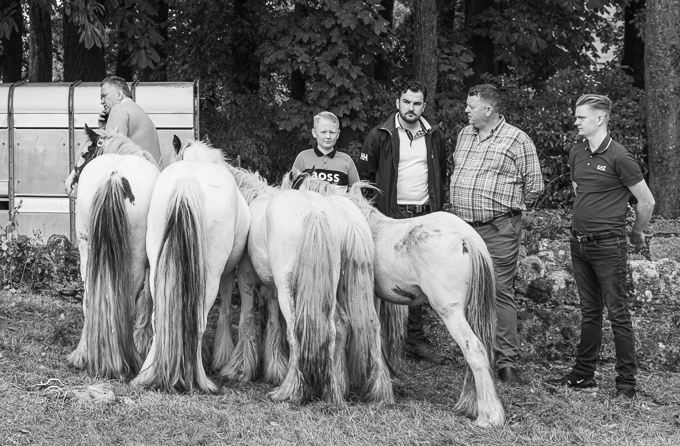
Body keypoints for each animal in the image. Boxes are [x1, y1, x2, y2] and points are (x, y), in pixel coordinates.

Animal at [64, 124, 160, 380]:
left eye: (84, 152)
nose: (67, 184)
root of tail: (115, 176)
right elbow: (146, 301)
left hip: (87, 251)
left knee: (89, 298)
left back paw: (84, 354)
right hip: (135, 259)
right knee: (127, 301)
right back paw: (124, 359)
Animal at [130, 136, 250, 393]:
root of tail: (187, 184)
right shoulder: (227, 272)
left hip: (157, 267)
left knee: (159, 318)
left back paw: (148, 374)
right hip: (211, 275)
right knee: (199, 321)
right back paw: (199, 380)